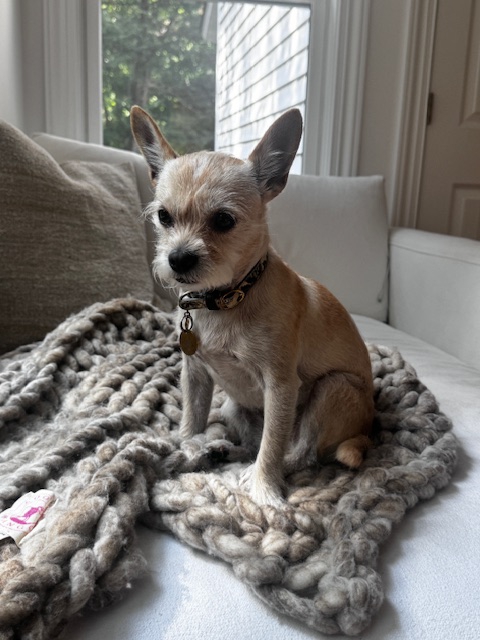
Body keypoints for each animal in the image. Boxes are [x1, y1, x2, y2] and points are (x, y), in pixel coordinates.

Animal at [130, 106, 376, 504]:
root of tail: (367, 430)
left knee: (300, 452)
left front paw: (264, 489)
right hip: (234, 406)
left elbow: (272, 445)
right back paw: (221, 450)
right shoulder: (195, 376)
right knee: (252, 441)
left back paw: (259, 469)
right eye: (164, 217)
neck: (225, 300)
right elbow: (191, 418)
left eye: (224, 220)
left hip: (333, 389)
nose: (178, 258)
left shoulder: (281, 387)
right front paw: (186, 447)